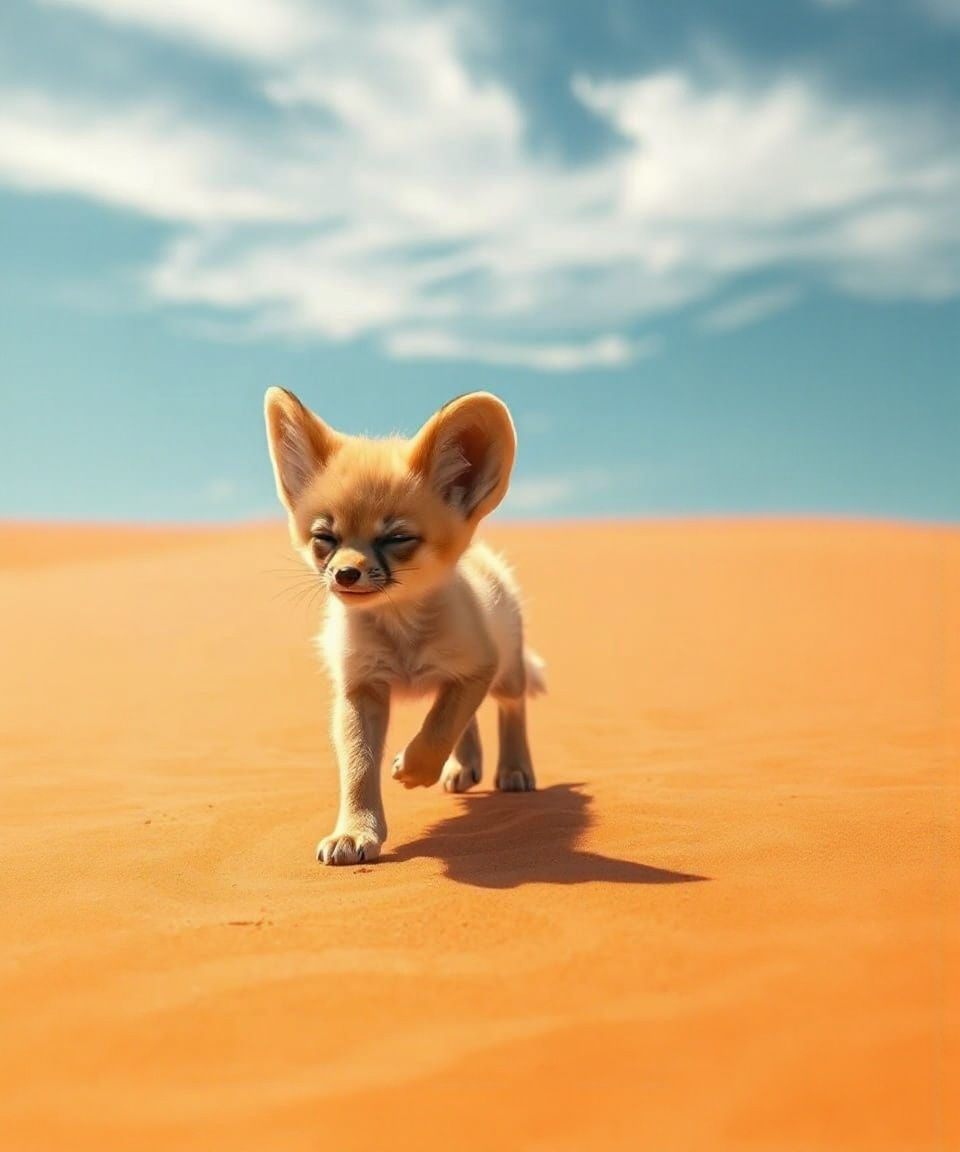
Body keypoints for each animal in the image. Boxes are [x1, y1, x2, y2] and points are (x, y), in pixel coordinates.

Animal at [264, 388, 546, 866]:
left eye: (396, 539)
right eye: (325, 538)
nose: (345, 574)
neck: (401, 636)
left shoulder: (476, 666)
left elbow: (438, 730)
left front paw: (415, 770)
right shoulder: (360, 688)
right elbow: (359, 766)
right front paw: (355, 832)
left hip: (504, 671)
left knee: (510, 708)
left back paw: (513, 768)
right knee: (467, 721)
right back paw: (463, 767)